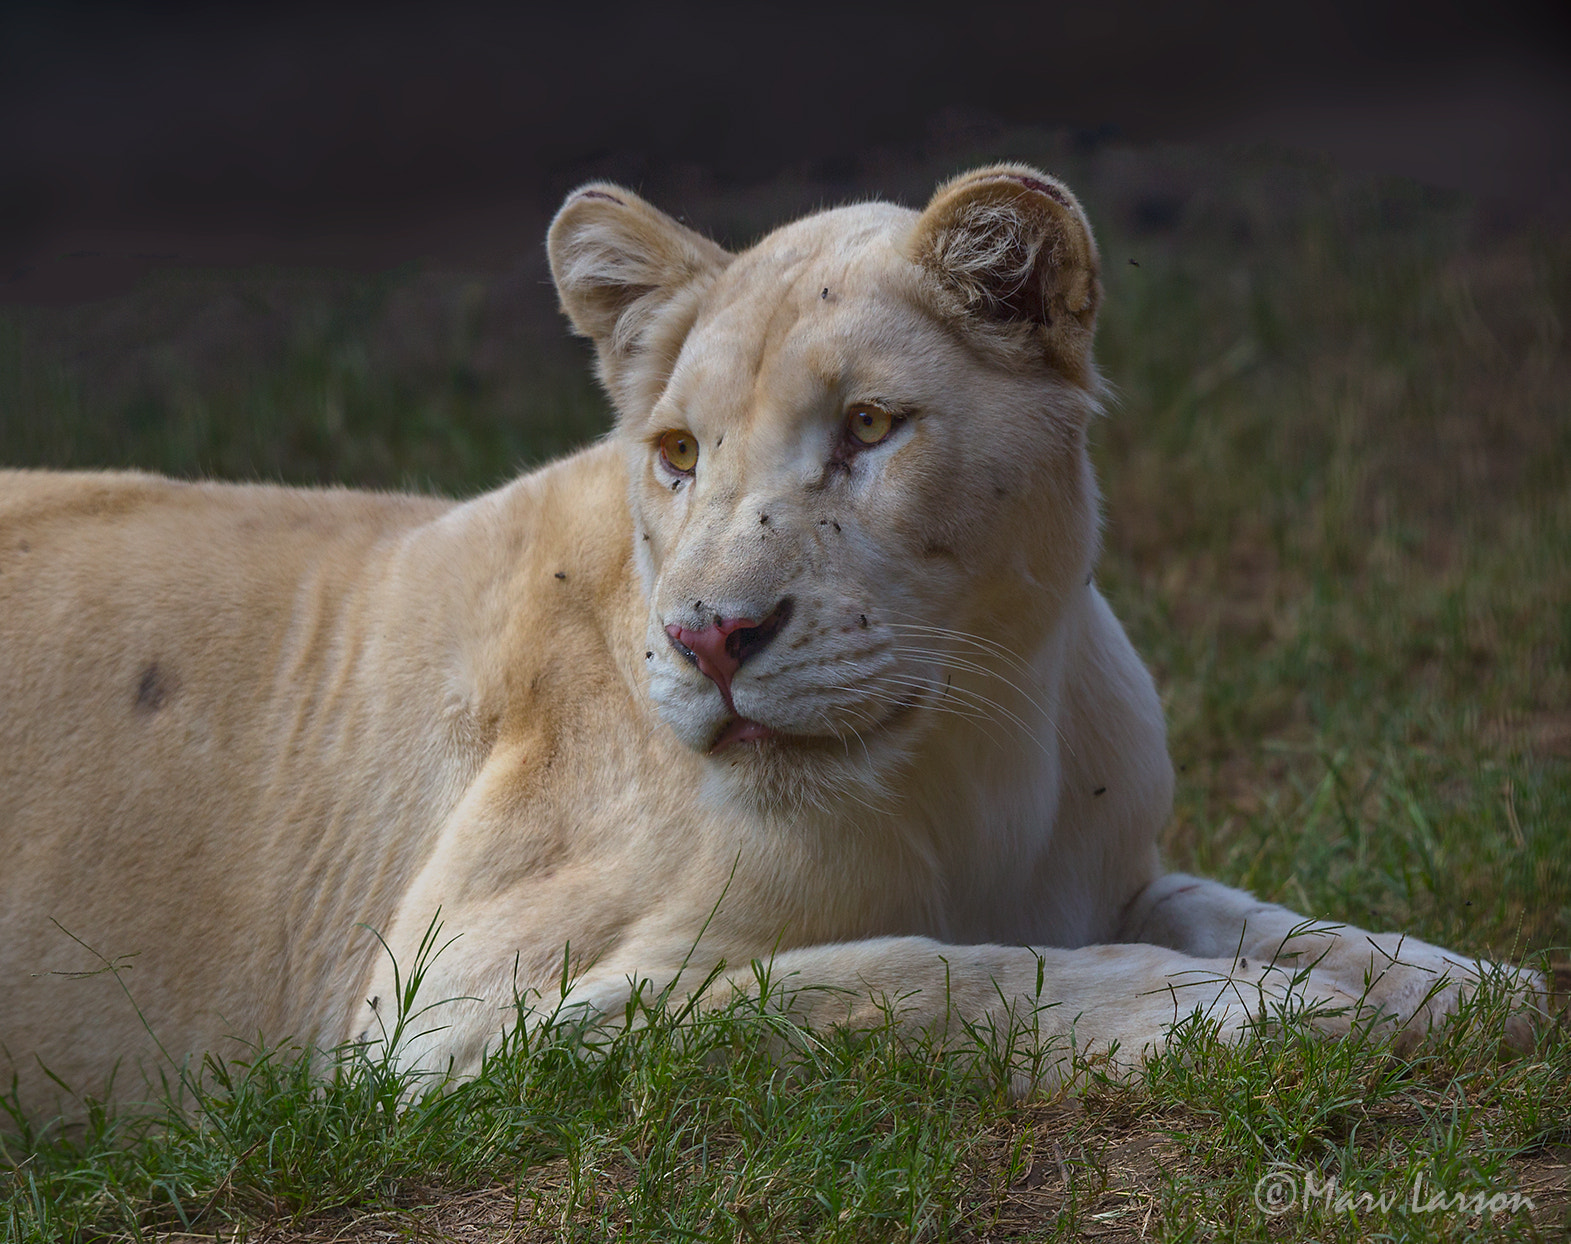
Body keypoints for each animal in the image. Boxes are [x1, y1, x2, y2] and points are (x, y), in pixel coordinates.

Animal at [0, 165, 1539, 1118]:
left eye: (867, 426)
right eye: (678, 452)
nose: (712, 637)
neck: (972, 753)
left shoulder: (1105, 871)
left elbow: (1253, 909)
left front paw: (1457, 988)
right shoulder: (441, 1031)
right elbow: (888, 977)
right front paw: (1237, 1015)